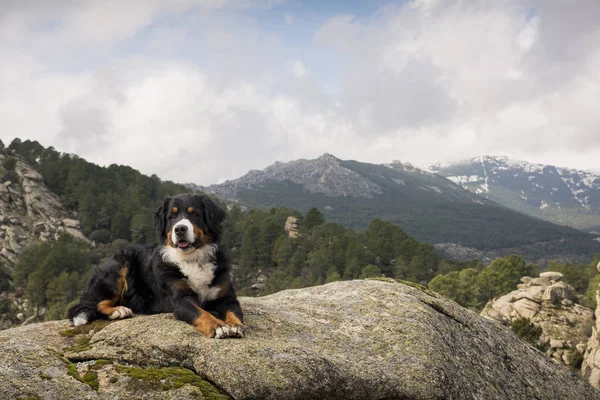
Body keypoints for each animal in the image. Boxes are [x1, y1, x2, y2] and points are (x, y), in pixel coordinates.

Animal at [66, 194, 244, 338]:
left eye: (195, 214)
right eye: (172, 216)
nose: (180, 229)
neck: (193, 259)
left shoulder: (226, 296)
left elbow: (234, 311)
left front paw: (235, 326)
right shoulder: (181, 299)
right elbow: (201, 313)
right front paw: (218, 326)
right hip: (118, 266)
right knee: (94, 304)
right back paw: (119, 310)